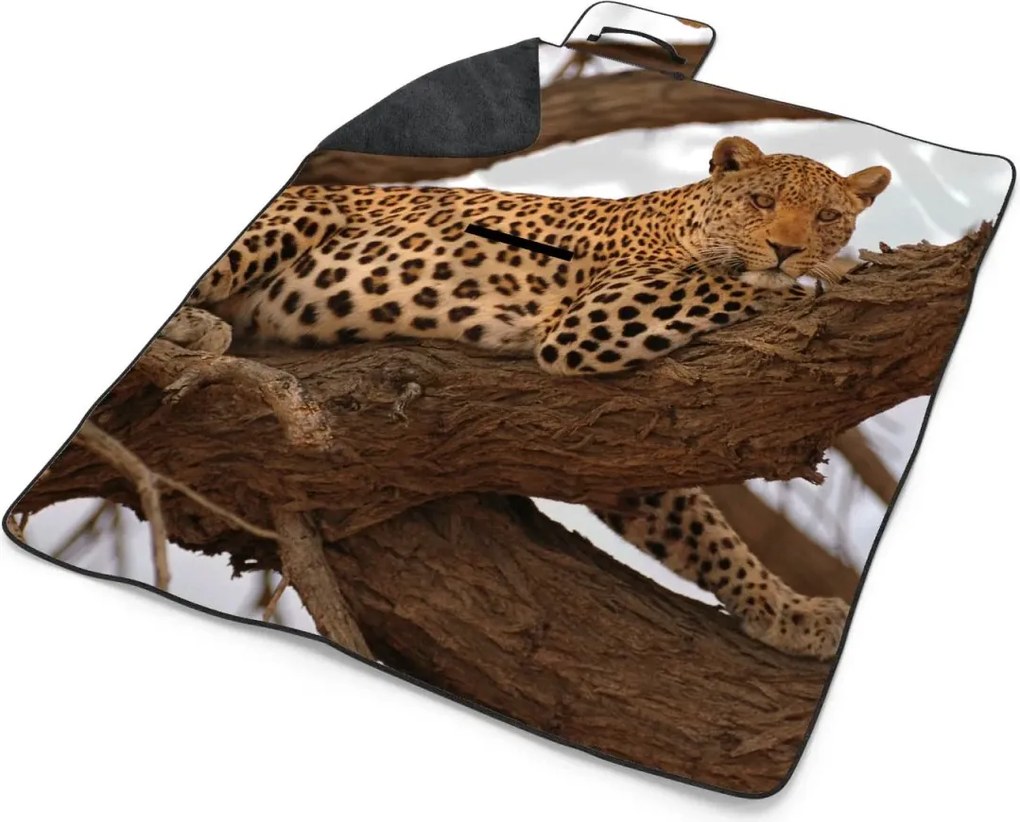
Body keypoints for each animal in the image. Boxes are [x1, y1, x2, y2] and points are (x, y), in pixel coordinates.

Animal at [167, 136, 891, 660]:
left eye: (828, 216)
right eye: (762, 201)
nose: (787, 248)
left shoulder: (625, 452)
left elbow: (709, 537)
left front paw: (788, 613)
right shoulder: (593, 319)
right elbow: (737, 283)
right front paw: (834, 275)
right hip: (304, 213)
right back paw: (193, 329)